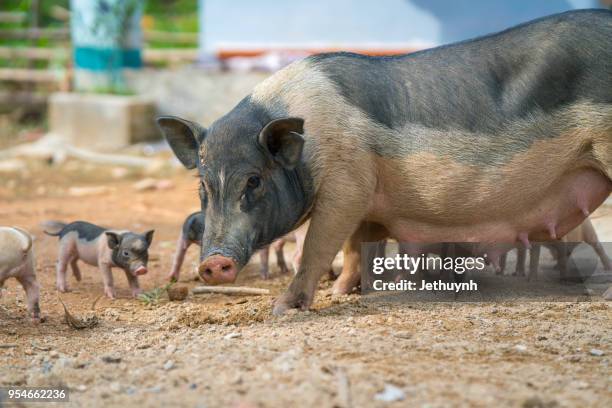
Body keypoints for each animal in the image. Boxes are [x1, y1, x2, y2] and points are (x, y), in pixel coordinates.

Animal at [158, 11, 612, 314]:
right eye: (202, 187)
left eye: (253, 181)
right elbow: (354, 247)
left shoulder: (347, 185)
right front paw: (342, 292)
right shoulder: (367, 196)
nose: (213, 263)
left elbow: (319, 245)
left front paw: (284, 309)